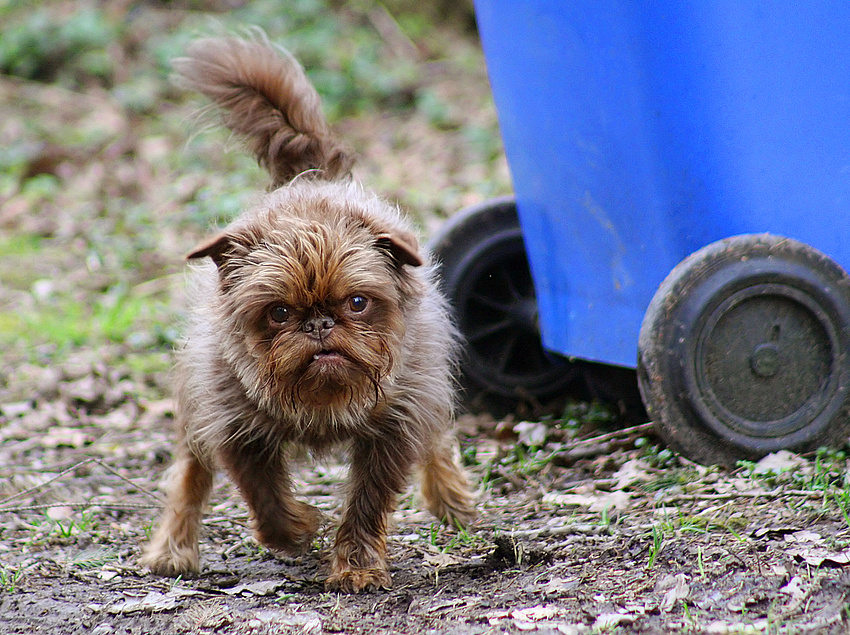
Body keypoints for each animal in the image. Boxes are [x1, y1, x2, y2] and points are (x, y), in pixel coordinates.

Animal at [142, 36, 480, 592]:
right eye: (278, 313)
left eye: (357, 303)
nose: (319, 324)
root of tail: (311, 177)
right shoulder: (236, 430)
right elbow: (267, 501)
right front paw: (300, 528)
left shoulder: (394, 429)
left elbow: (366, 502)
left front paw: (356, 565)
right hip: (196, 409)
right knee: (191, 473)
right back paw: (172, 549)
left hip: (425, 384)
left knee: (436, 438)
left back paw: (450, 498)